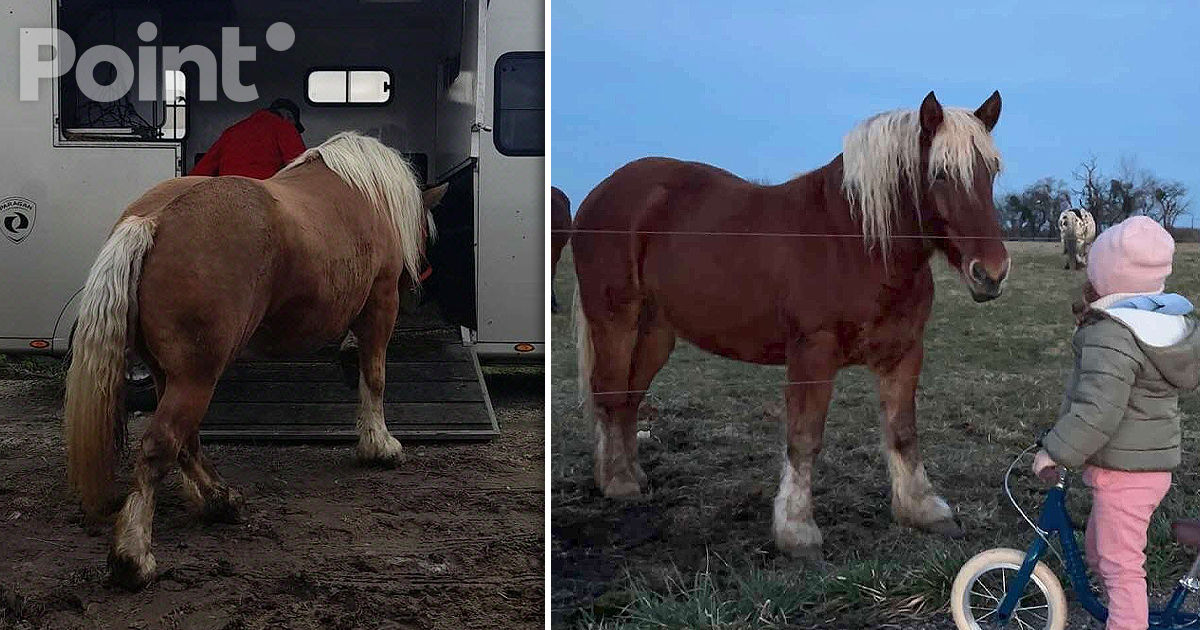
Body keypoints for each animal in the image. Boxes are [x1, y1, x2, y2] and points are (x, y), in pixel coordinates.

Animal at [64, 131, 446, 590]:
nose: (420, 283)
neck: (366, 193)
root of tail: (152, 221)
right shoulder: (380, 303)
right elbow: (375, 377)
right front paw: (380, 446)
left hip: (169, 374)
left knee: (185, 440)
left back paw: (219, 500)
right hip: (197, 376)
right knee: (161, 444)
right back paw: (133, 556)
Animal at [571, 91, 1009, 559]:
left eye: (991, 172)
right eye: (941, 174)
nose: (992, 273)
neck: (857, 243)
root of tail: (600, 194)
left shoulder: (904, 353)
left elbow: (902, 432)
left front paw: (923, 509)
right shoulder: (811, 356)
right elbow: (804, 438)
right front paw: (797, 530)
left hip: (656, 332)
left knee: (630, 398)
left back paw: (632, 475)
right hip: (615, 321)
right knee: (610, 393)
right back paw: (617, 482)